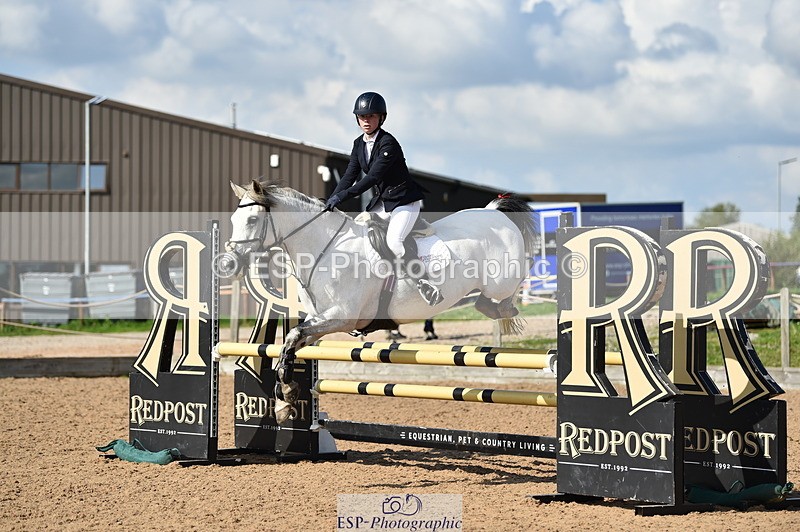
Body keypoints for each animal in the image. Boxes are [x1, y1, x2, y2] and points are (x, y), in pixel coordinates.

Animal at [224, 180, 537, 423]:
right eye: (233, 221)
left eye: (252, 220)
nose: (228, 264)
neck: (325, 249)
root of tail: (494, 214)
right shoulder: (319, 321)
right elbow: (289, 345)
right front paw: (286, 399)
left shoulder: (340, 317)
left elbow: (292, 336)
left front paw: (285, 397)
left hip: (502, 277)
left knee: (514, 283)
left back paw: (502, 307)